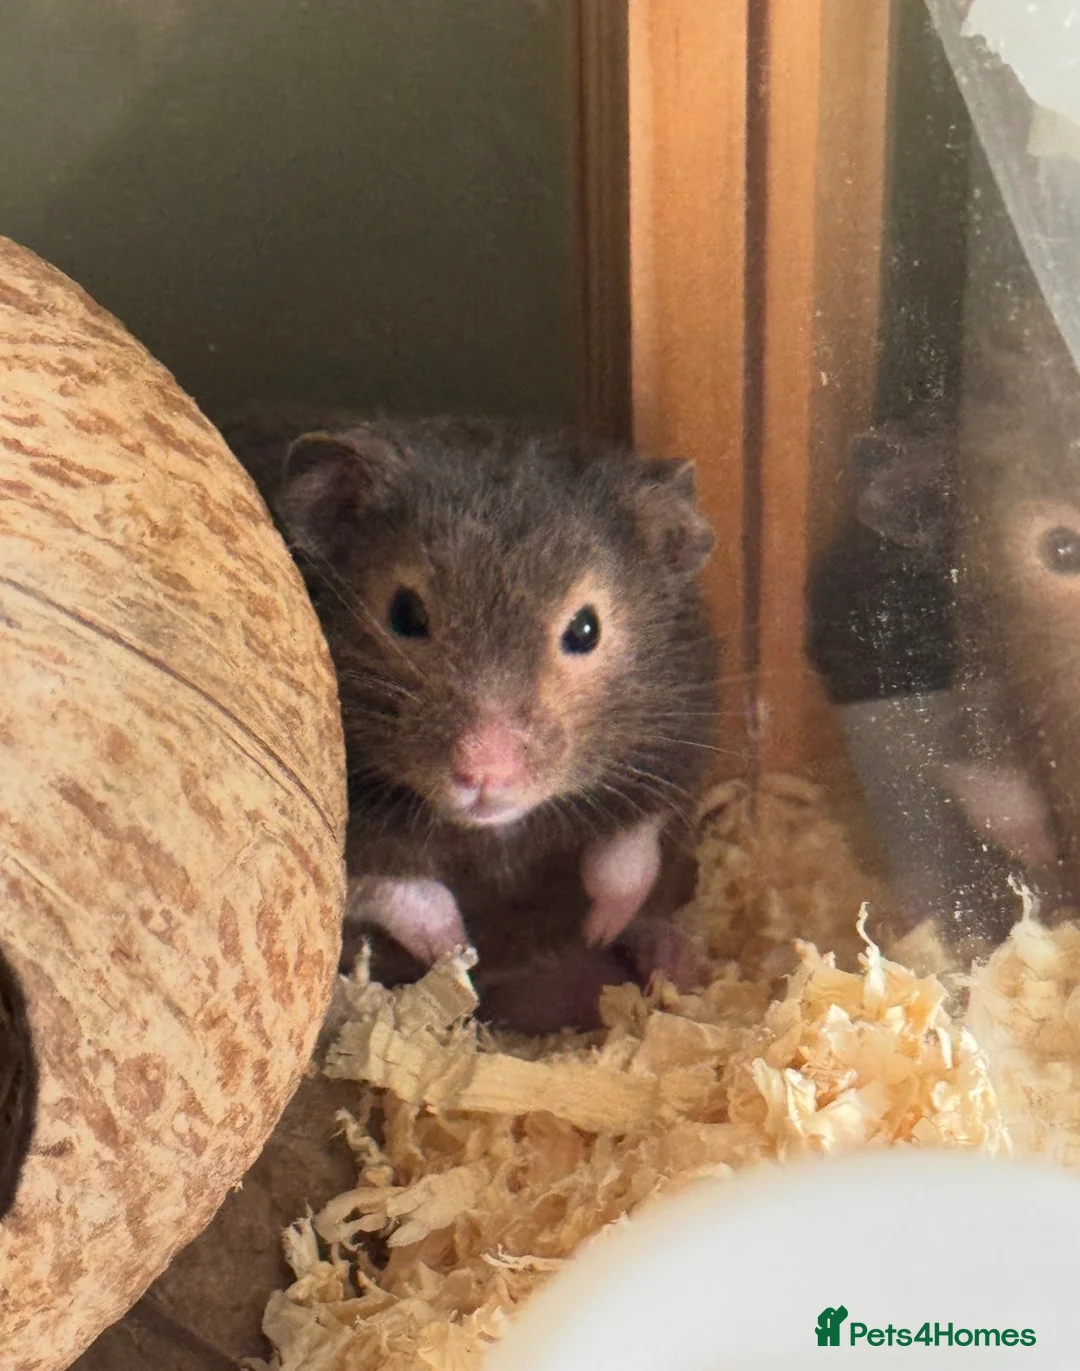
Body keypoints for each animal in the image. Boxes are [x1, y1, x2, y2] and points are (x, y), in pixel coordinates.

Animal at [222, 413, 719, 1030]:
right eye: (405, 614)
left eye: (586, 629)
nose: (485, 776)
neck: (495, 831)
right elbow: (394, 886)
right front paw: (457, 952)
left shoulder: (680, 740)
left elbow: (630, 848)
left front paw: (600, 927)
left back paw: (673, 962)